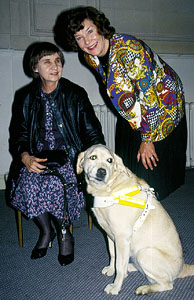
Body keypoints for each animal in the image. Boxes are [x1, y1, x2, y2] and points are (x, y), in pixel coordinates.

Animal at [76, 145, 194, 296]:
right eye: (93, 157)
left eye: (110, 160)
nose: (102, 172)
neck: (109, 188)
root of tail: (183, 268)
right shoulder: (109, 235)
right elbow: (113, 256)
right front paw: (111, 269)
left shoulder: (122, 238)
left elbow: (119, 267)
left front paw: (115, 287)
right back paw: (131, 267)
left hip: (145, 253)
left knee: (167, 284)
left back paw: (144, 288)